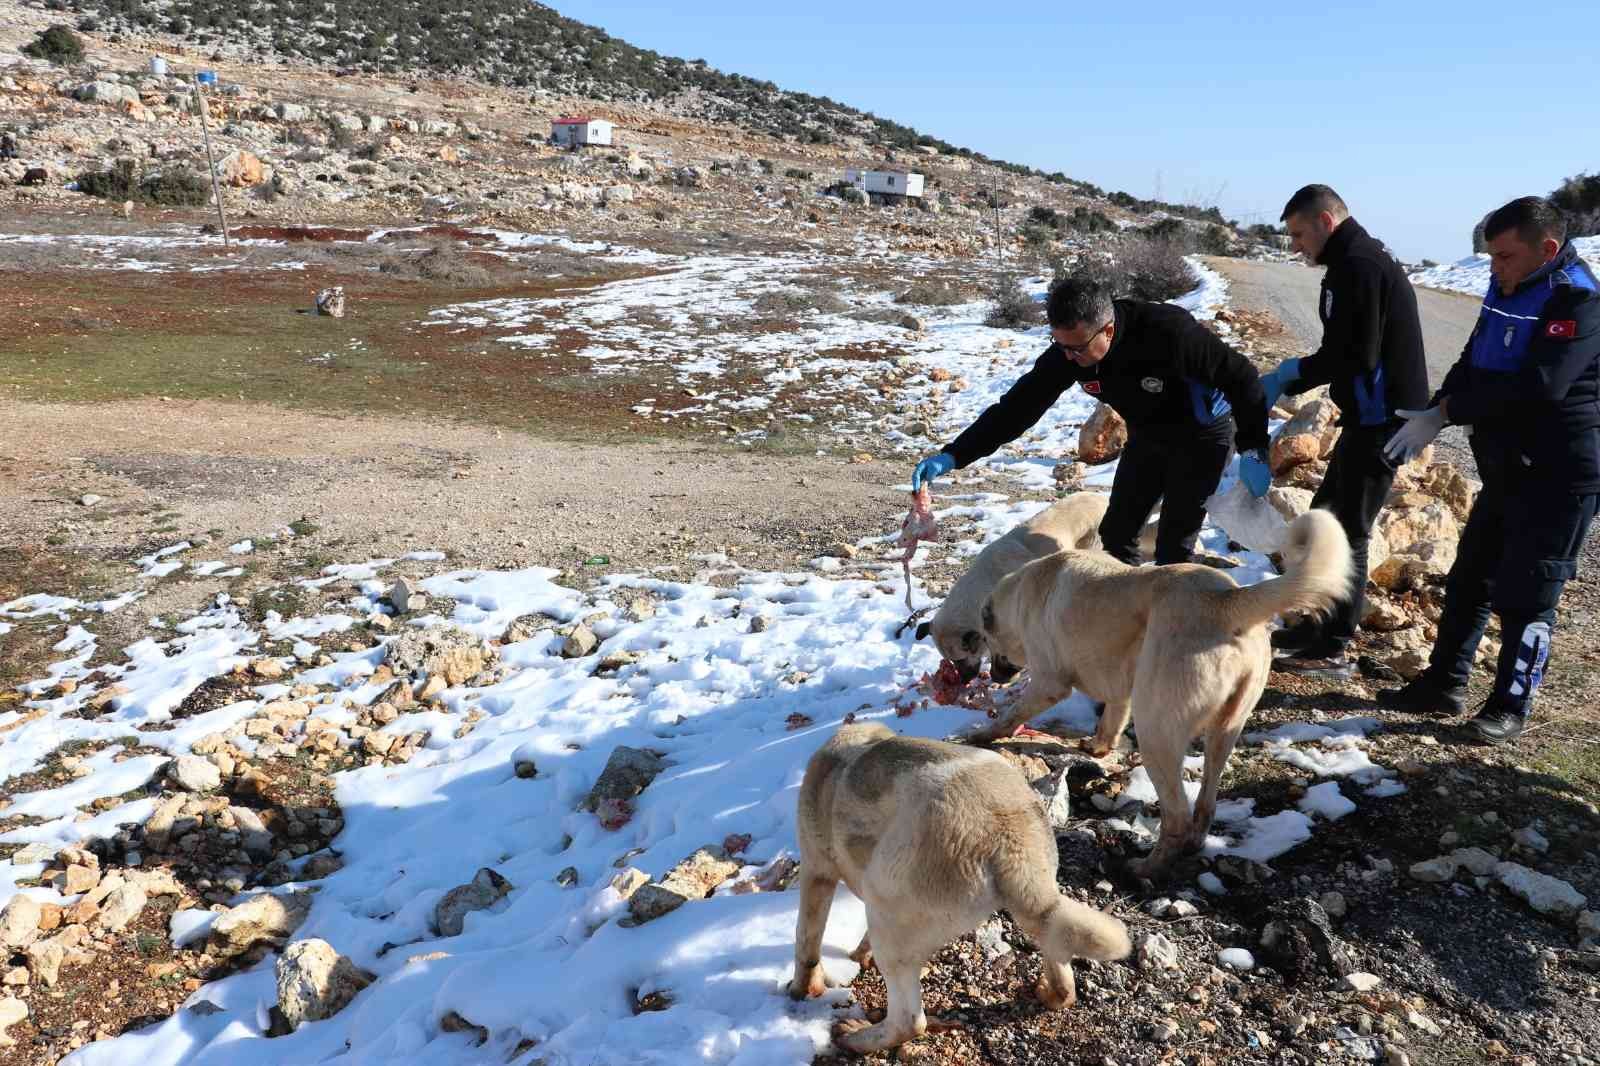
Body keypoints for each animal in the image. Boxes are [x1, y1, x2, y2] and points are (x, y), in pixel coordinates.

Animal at [787, 717, 1126, 1049]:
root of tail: (1009, 836)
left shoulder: (816, 872)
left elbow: (807, 942)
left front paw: (800, 990)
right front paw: (858, 955)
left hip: (889, 913)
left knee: (908, 1022)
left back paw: (856, 1037)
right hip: (1041, 907)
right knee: (1062, 973)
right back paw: (1050, 991)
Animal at [972, 512, 1350, 877]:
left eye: (988, 642)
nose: (992, 676)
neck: (1024, 591)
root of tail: (1225, 600)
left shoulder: (1049, 683)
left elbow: (1011, 715)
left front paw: (980, 736)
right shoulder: (1119, 689)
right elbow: (1110, 721)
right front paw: (1098, 748)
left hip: (1156, 733)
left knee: (1177, 816)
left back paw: (1146, 868)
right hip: (1224, 731)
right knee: (1206, 803)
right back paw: (1192, 845)